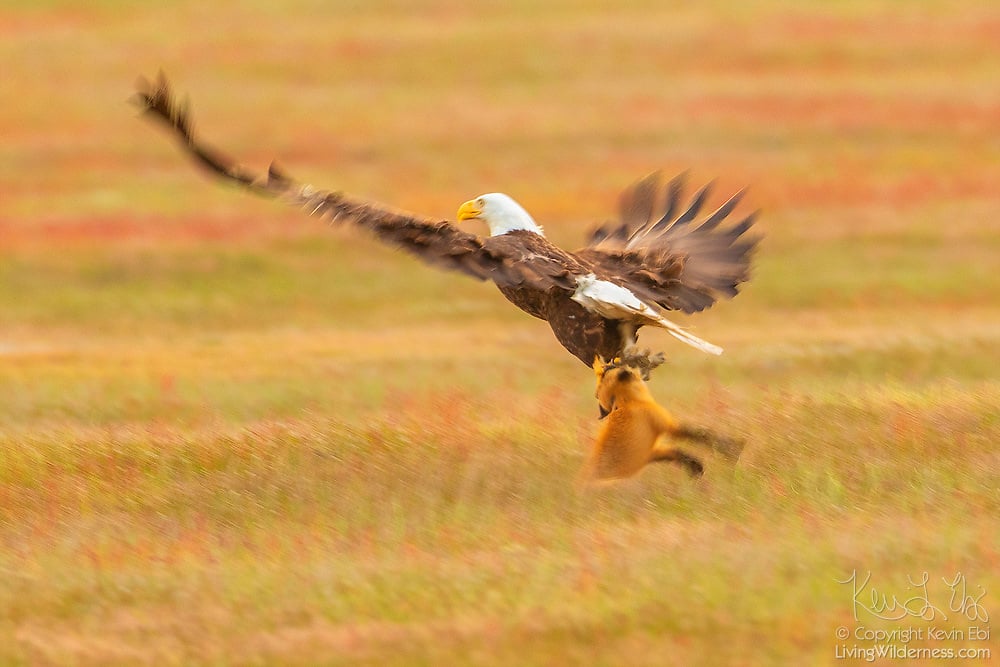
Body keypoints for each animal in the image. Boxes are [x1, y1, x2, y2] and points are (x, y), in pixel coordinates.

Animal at [581, 358, 745, 483]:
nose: (614, 359)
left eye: (611, 366)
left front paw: (697, 468)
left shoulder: (651, 452)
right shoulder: (668, 427)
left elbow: (681, 454)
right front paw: (733, 450)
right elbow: (703, 435)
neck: (630, 401)